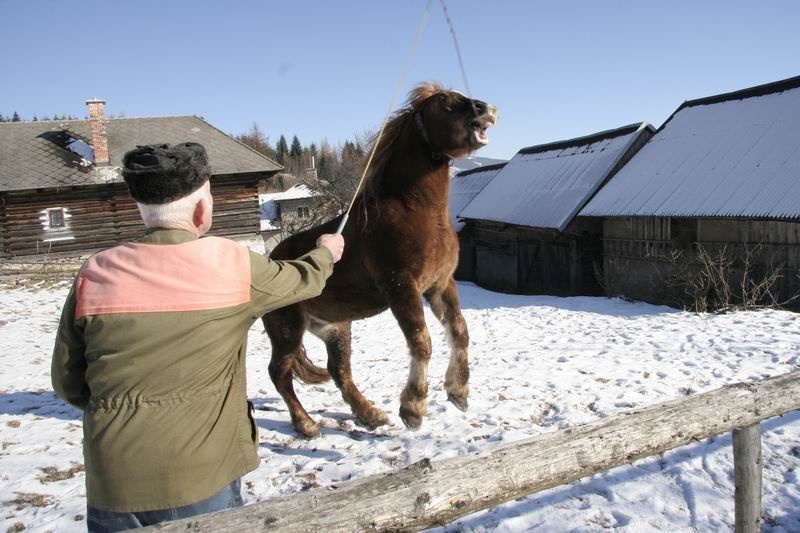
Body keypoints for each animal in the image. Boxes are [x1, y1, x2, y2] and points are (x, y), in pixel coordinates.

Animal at [263, 82, 498, 438]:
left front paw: (458, 391)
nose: (485, 109)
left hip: (335, 329)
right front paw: (413, 408)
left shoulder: (440, 285)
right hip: (288, 331)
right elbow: (422, 342)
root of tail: (269, 261)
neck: (414, 211)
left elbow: (460, 331)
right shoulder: (401, 287)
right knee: (279, 374)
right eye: (443, 101)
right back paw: (306, 424)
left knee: (338, 371)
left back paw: (370, 415)